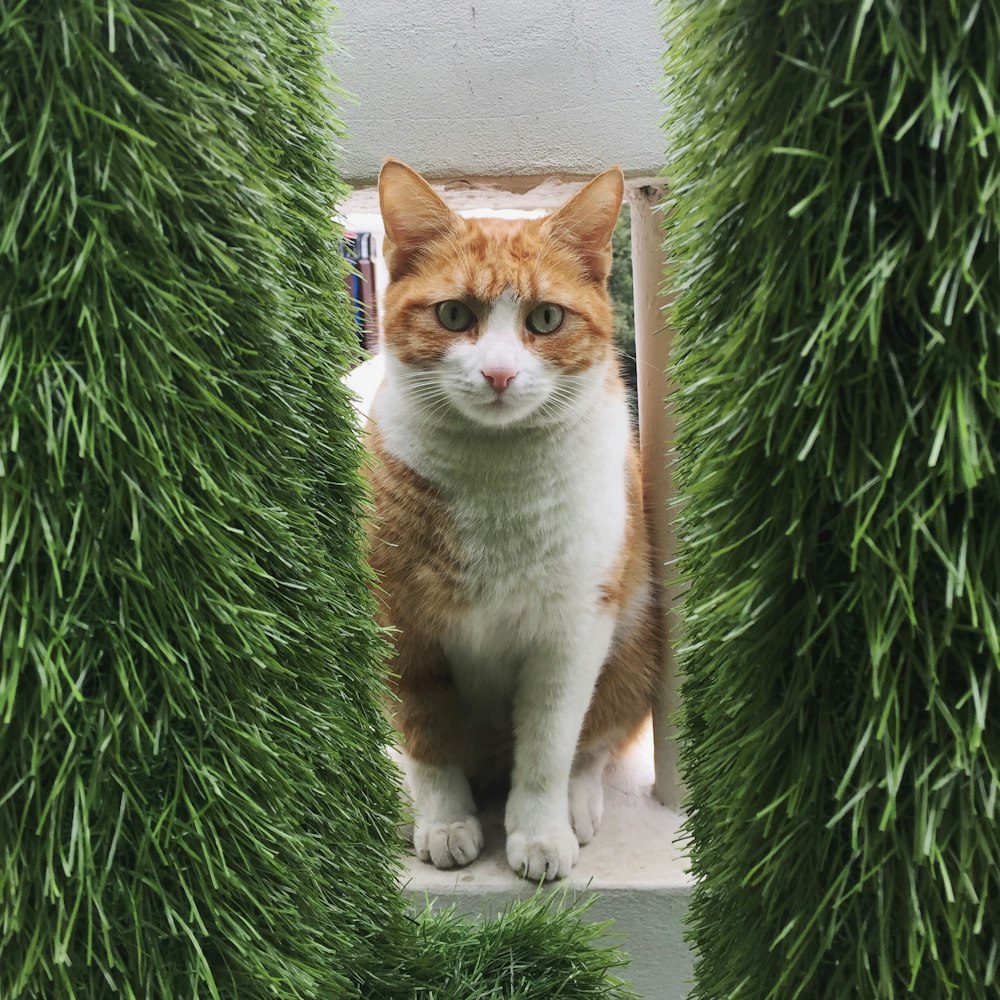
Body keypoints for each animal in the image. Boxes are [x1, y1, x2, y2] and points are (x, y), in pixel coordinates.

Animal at [356, 160, 660, 880]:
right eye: (453, 314)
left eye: (545, 318)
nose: (498, 374)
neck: (497, 482)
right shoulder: (401, 624)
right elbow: (428, 739)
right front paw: (444, 822)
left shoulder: (572, 632)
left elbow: (550, 746)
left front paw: (540, 834)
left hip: (635, 654)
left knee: (592, 745)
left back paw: (578, 806)